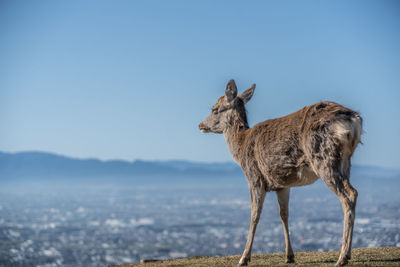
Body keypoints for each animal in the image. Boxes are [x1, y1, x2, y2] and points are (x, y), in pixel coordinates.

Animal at [198, 80, 362, 267]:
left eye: (214, 109)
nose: (201, 125)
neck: (241, 147)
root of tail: (353, 120)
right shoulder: (283, 184)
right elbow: (284, 214)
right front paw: (289, 256)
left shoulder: (254, 176)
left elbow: (254, 214)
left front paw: (243, 258)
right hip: (345, 161)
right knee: (352, 191)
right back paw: (345, 255)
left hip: (324, 158)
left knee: (349, 194)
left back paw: (342, 257)